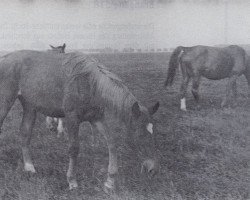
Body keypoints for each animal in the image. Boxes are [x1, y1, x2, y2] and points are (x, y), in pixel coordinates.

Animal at [0, 50, 159, 194]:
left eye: (153, 134)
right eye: (139, 135)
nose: (152, 170)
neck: (90, 83)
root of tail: (5, 57)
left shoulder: (97, 119)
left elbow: (112, 143)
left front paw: (110, 182)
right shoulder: (72, 118)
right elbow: (74, 148)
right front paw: (72, 181)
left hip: (29, 106)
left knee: (25, 133)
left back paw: (29, 168)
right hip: (6, 102)